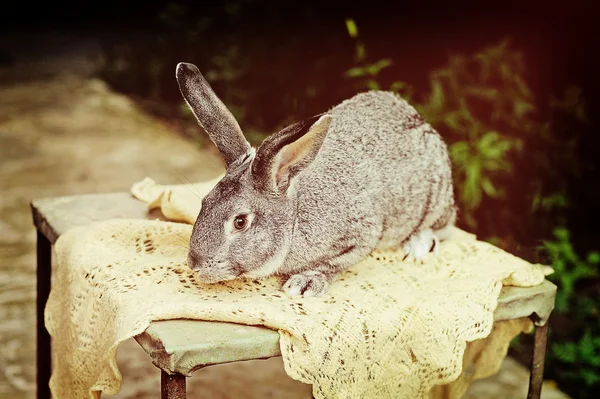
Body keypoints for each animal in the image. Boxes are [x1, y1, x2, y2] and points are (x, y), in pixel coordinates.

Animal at [176, 61, 458, 296]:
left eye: (240, 222)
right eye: (204, 203)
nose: (195, 264)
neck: (294, 218)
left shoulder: (361, 236)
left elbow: (335, 263)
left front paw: (305, 283)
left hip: (434, 201)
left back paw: (419, 246)